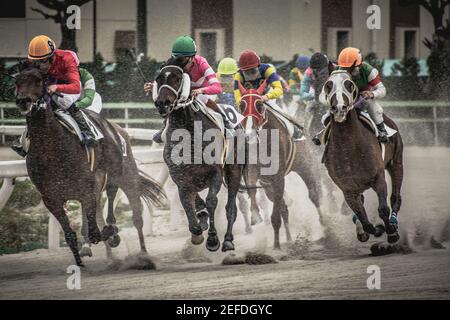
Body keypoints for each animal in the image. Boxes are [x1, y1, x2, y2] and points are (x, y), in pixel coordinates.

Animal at [15, 67, 168, 264]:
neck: (51, 148)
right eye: (17, 81)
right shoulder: (52, 198)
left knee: (132, 212)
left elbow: (95, 231)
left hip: (126, 177)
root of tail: (118, 129)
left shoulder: (87, 189)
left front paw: (111, 234)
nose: (23, 101)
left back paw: (142, 253)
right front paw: (81, 261)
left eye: (38, 80)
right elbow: (73, 234)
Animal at [153, 57, 243, 252]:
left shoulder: (215, 172)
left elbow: (211, 201)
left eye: (177, 78)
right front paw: (197, 231)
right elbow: (189, 202)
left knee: (230, 208)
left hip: (234, 170)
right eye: (158, 78)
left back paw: (228, 240)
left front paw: (213, 239)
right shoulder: (180, 177)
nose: (162, 103)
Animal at [239, 80, 326, 250]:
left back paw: (326, 226)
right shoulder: (254, 171)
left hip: (305, 165)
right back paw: (289, 238)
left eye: (259, 105)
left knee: (314, 195)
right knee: (283, 206)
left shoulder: (278, 177)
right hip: (267, 184)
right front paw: (255, 215)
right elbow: (252, 189)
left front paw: (276, 245)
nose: (250, 134)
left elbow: (276, 215)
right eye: (241, 105)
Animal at [320, 71, 404, 244]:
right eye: (328, 84)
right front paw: (375, 230)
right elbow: (364, 219)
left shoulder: (378, 178)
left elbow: (383, 209)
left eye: (349, 84)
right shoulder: (348, 189)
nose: (339, 108)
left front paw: (391, 231)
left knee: (395, 197)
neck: (349, 148)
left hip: (396, 162)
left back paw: (393, 223)